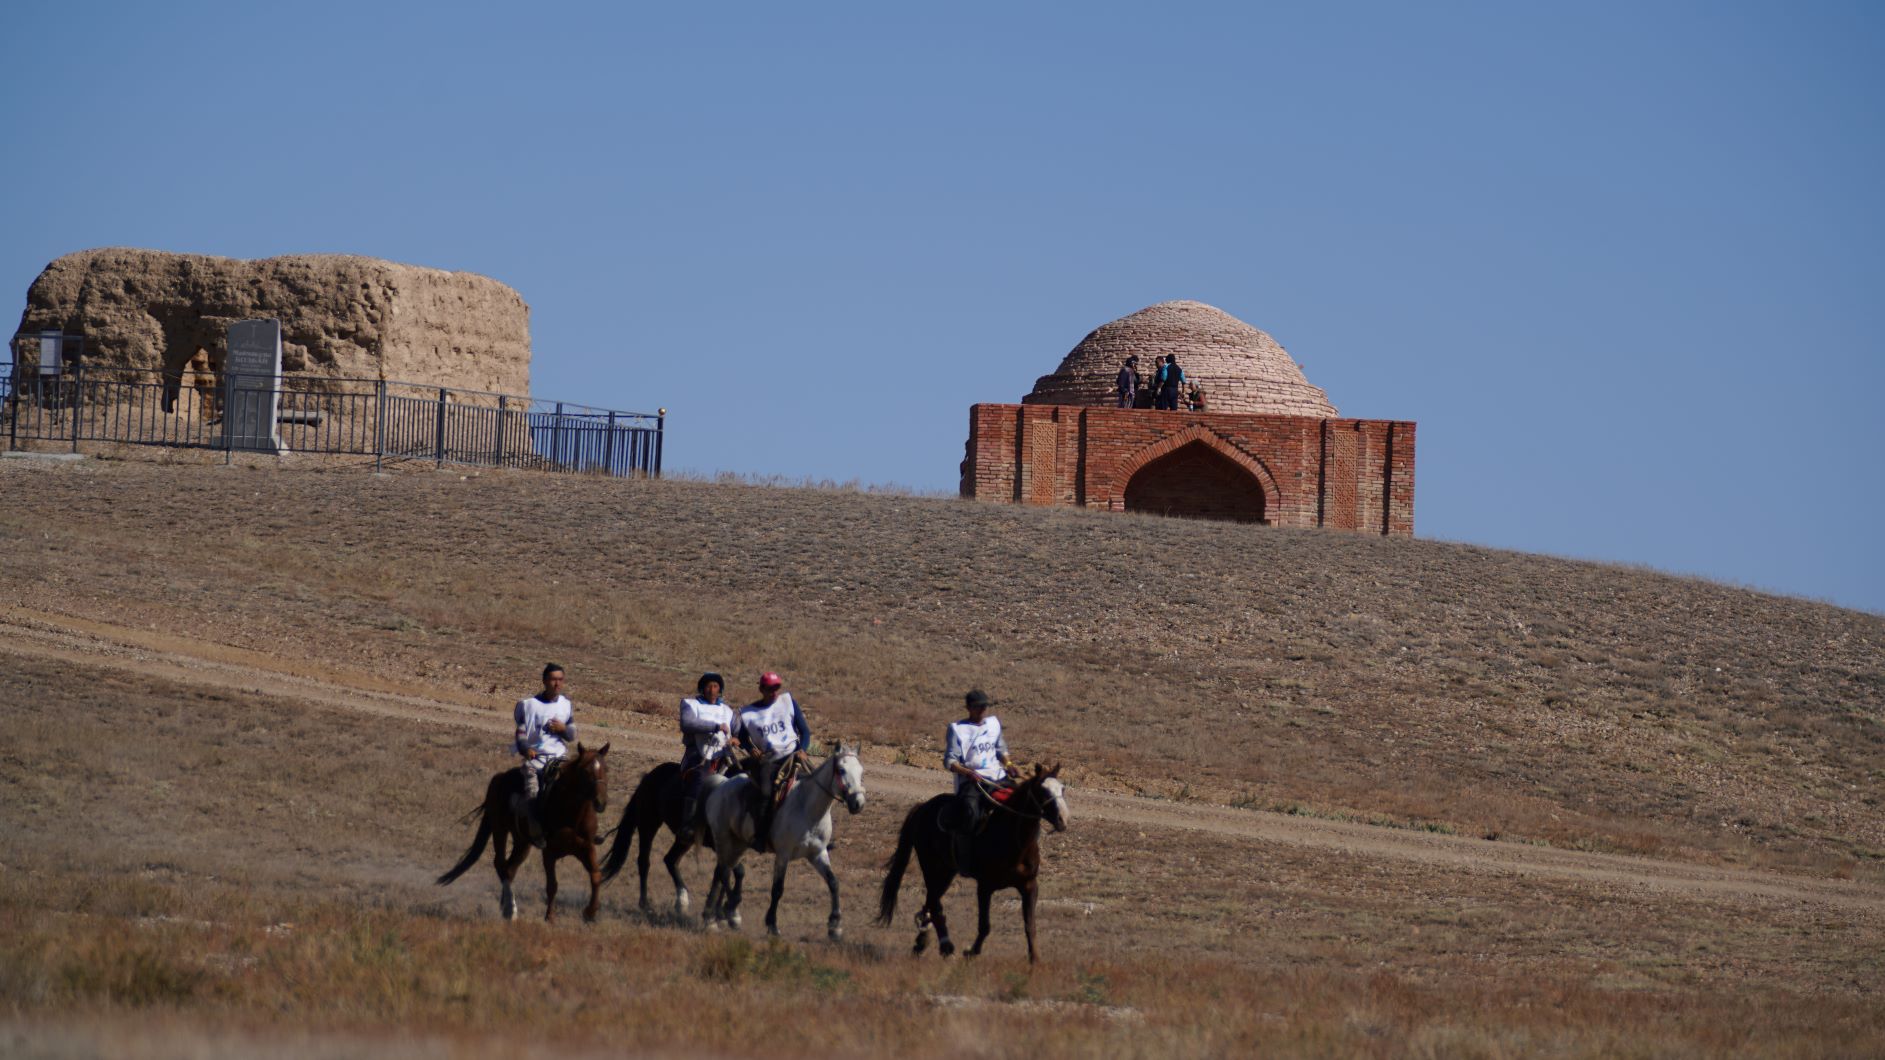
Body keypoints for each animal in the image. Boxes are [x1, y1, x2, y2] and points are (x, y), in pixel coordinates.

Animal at [439, 743, 610, 916]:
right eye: (585, 771)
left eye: (606, 769)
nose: (600, 802)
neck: (572, 815)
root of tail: (499, 778)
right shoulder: (549, 852)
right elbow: (552, 886)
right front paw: (550, 917)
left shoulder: (586, 847)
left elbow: (596, 876)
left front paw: (590, 912)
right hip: (500, 830)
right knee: (501, 864)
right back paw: (510, 909)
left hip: (522, 842)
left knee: (510, 869)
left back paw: (506, 905)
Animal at [697, 746, 863, 935]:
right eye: (841, 770)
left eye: (861, 771)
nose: (858, 803)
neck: (808, 810)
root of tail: (721, 784)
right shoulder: (783, 855)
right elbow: (777, 889)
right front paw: (772, 925)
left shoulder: (818, 854)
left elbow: (833, 883)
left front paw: (835, 926)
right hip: (723, 838)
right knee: (724, 872)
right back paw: (730, 912)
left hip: (738, 844)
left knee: (722, 871)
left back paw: (713, 916)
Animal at [878, 761, 1070, 961]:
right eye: (1043, 791)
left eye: (1062, 788)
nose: (1063, 819)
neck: (1014, 838)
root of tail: (922, 807)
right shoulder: (985, 886)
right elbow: (985, 926)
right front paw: (971, 951)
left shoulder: (1029, 885)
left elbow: (1030, 926)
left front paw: (1035, 959)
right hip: (932, 867)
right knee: (934, 903)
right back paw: (945, 946)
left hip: (946, 871)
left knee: (931, 902)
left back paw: (922, 941)